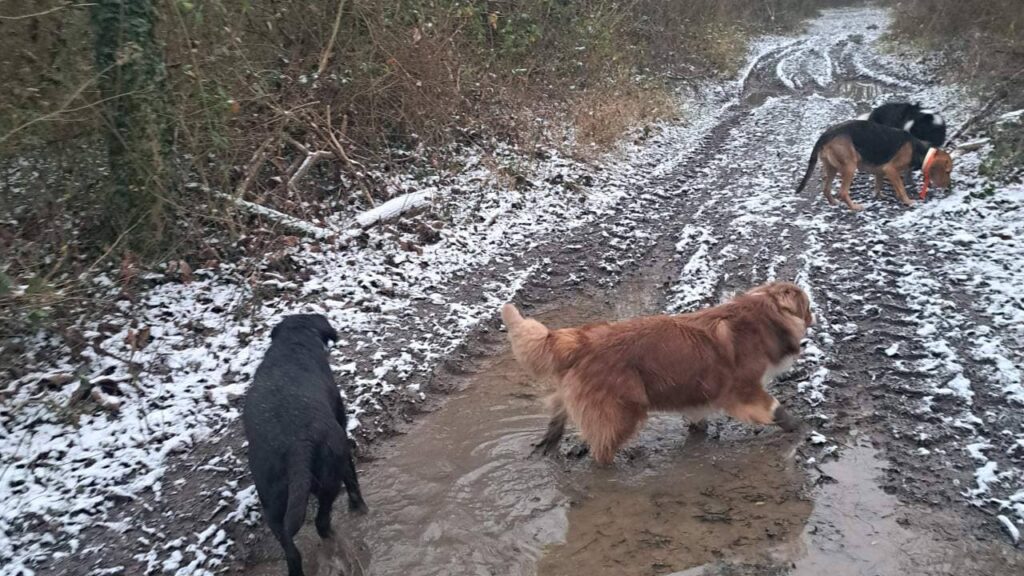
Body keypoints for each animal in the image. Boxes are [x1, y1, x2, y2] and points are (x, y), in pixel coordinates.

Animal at [241, 313, 366, 573]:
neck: (293, 344)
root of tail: (296, 444)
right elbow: (352, 480)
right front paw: (358, 507)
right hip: (330, 477)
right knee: (322, 522)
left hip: (273, 503)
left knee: (291, 550)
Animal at [499, 280, 811, 463]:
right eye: (807, 306)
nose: (814, 316)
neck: (761, 316)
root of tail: (580, 339)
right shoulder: (744, 389)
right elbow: (775, 409)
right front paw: (798, 426)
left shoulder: (696, 391)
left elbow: (698, 418)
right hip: (623, 412)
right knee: (601, 452)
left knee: (556, 418)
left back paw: (545, 447)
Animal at [794, 117, 954, 210]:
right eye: (948, 171)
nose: (949, 188)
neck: (922, 152)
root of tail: (826, 134)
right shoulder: (891, 169)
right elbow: (901, 189)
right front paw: (908, 201)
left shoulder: (881, 171)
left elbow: (878, 185)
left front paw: (879, 196)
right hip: (850, 167)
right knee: (842, 192)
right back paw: (855, 207)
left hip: (832, 167)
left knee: (826, 189)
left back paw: (834, 203)